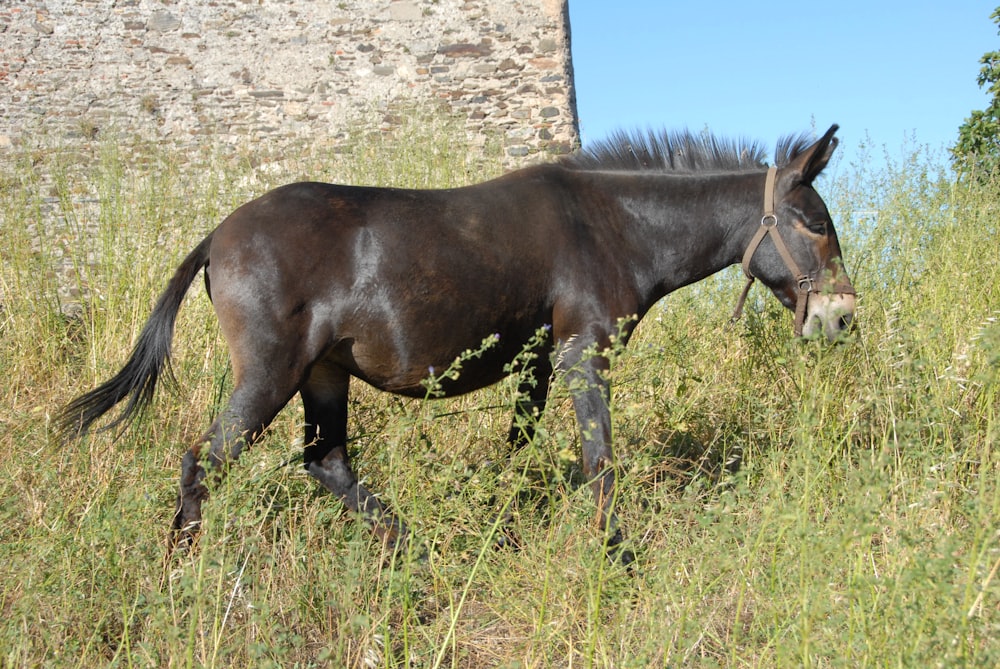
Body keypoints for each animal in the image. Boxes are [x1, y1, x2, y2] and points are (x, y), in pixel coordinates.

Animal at [56, 122, 852, 560]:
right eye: (815, 221)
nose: (844, 317)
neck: (611, 223)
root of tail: (218, 233)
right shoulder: (583, 350)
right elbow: (600, 459)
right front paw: (618, 558)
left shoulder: (540, 359)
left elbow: (519, 446)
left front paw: (503, 523)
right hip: (271, 371)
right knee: (203, 463)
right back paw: (180, 576)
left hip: (323, 371)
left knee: (325, 462)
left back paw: (420, 555)